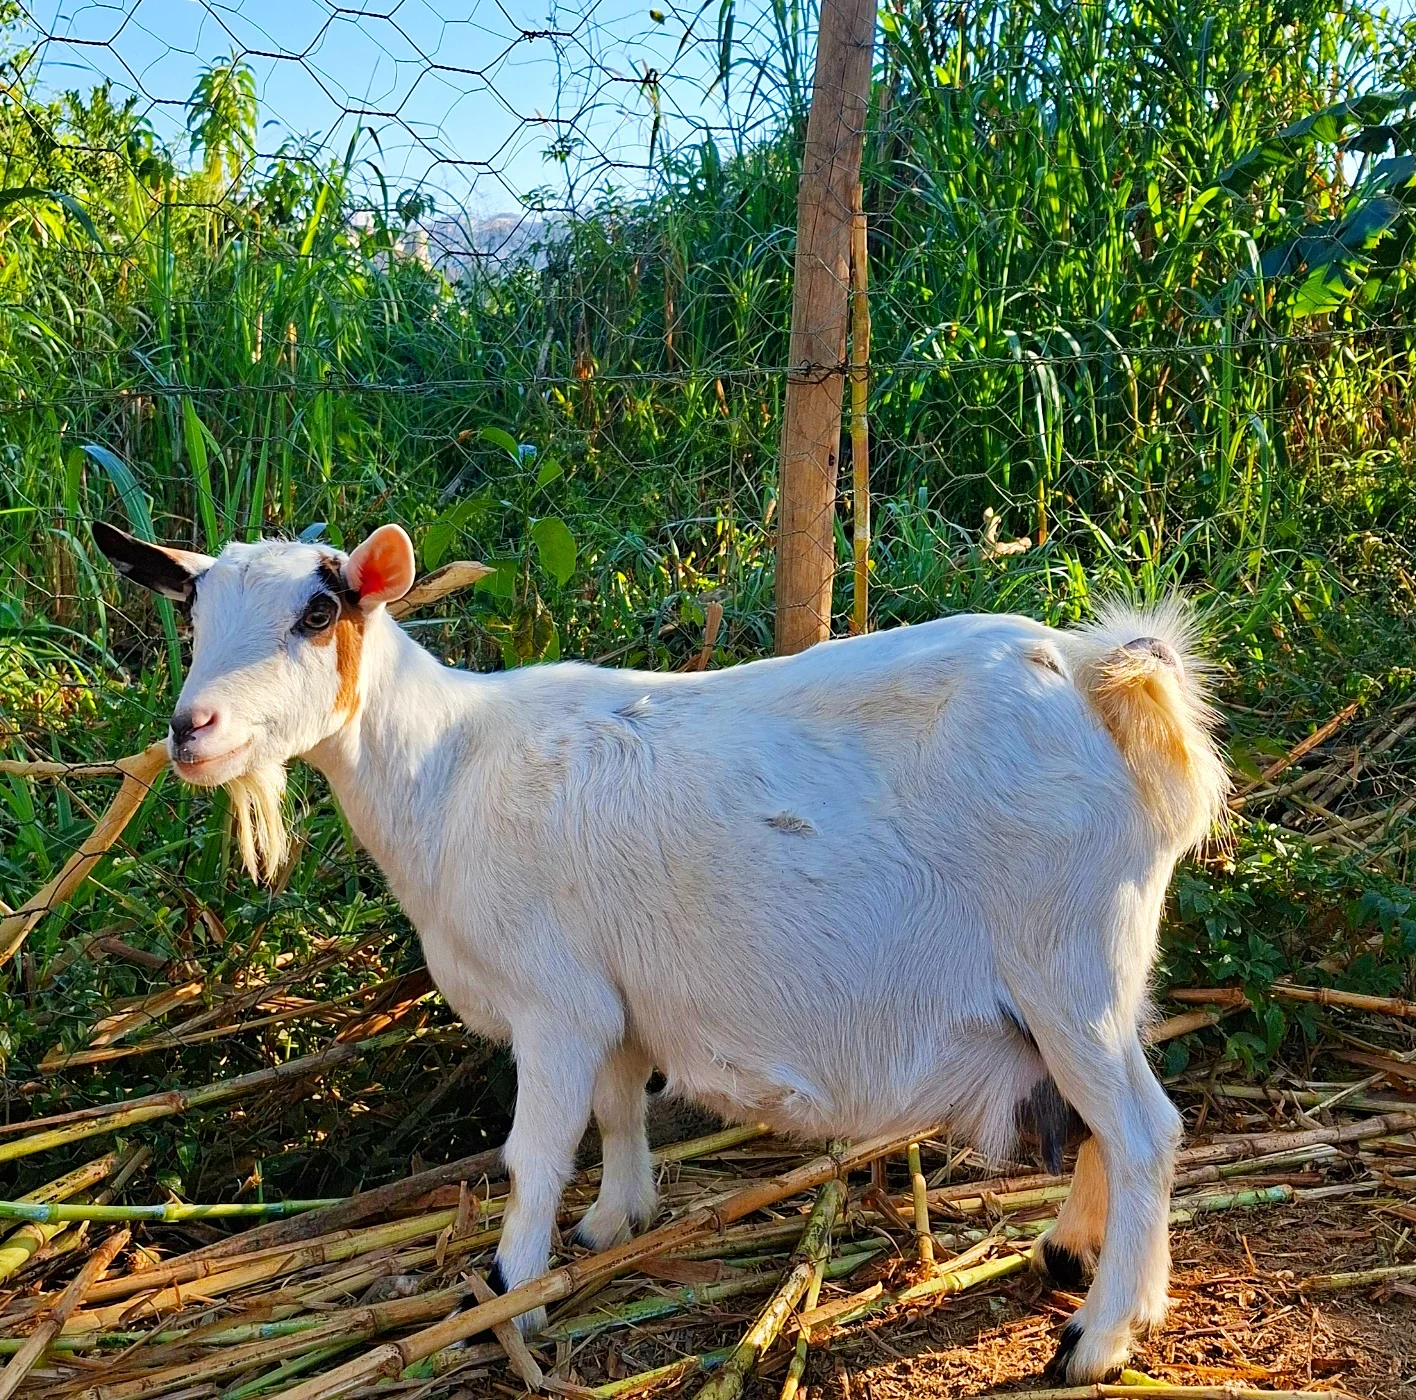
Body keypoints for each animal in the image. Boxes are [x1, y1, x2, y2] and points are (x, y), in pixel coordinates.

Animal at [94, 518, 1227, 1381]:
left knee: (1143, 1129)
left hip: (1064, 961)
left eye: (316, 614)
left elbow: (535, 1152)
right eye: (193, 614)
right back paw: (1074, 1256)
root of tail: (1099, 675)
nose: (192, 729)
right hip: (1096, 974)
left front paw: (511, 1293)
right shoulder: (616, 994)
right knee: (1106, 1117)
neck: (444, 771)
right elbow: (618, 1105)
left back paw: (1100, 1336)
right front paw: (614, 1223)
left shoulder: (555, 1002)